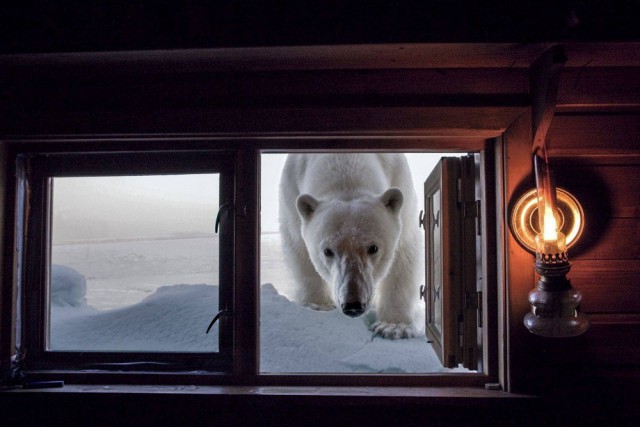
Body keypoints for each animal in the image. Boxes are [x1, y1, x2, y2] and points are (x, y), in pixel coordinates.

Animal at [278, 152, 422, 340]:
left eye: (373, 248)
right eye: (327, 251)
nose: (353, 305)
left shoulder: (400, 181)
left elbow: (403, 254)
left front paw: (394, 326)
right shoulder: (291, 190)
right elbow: (298, 248)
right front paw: (318, 304)